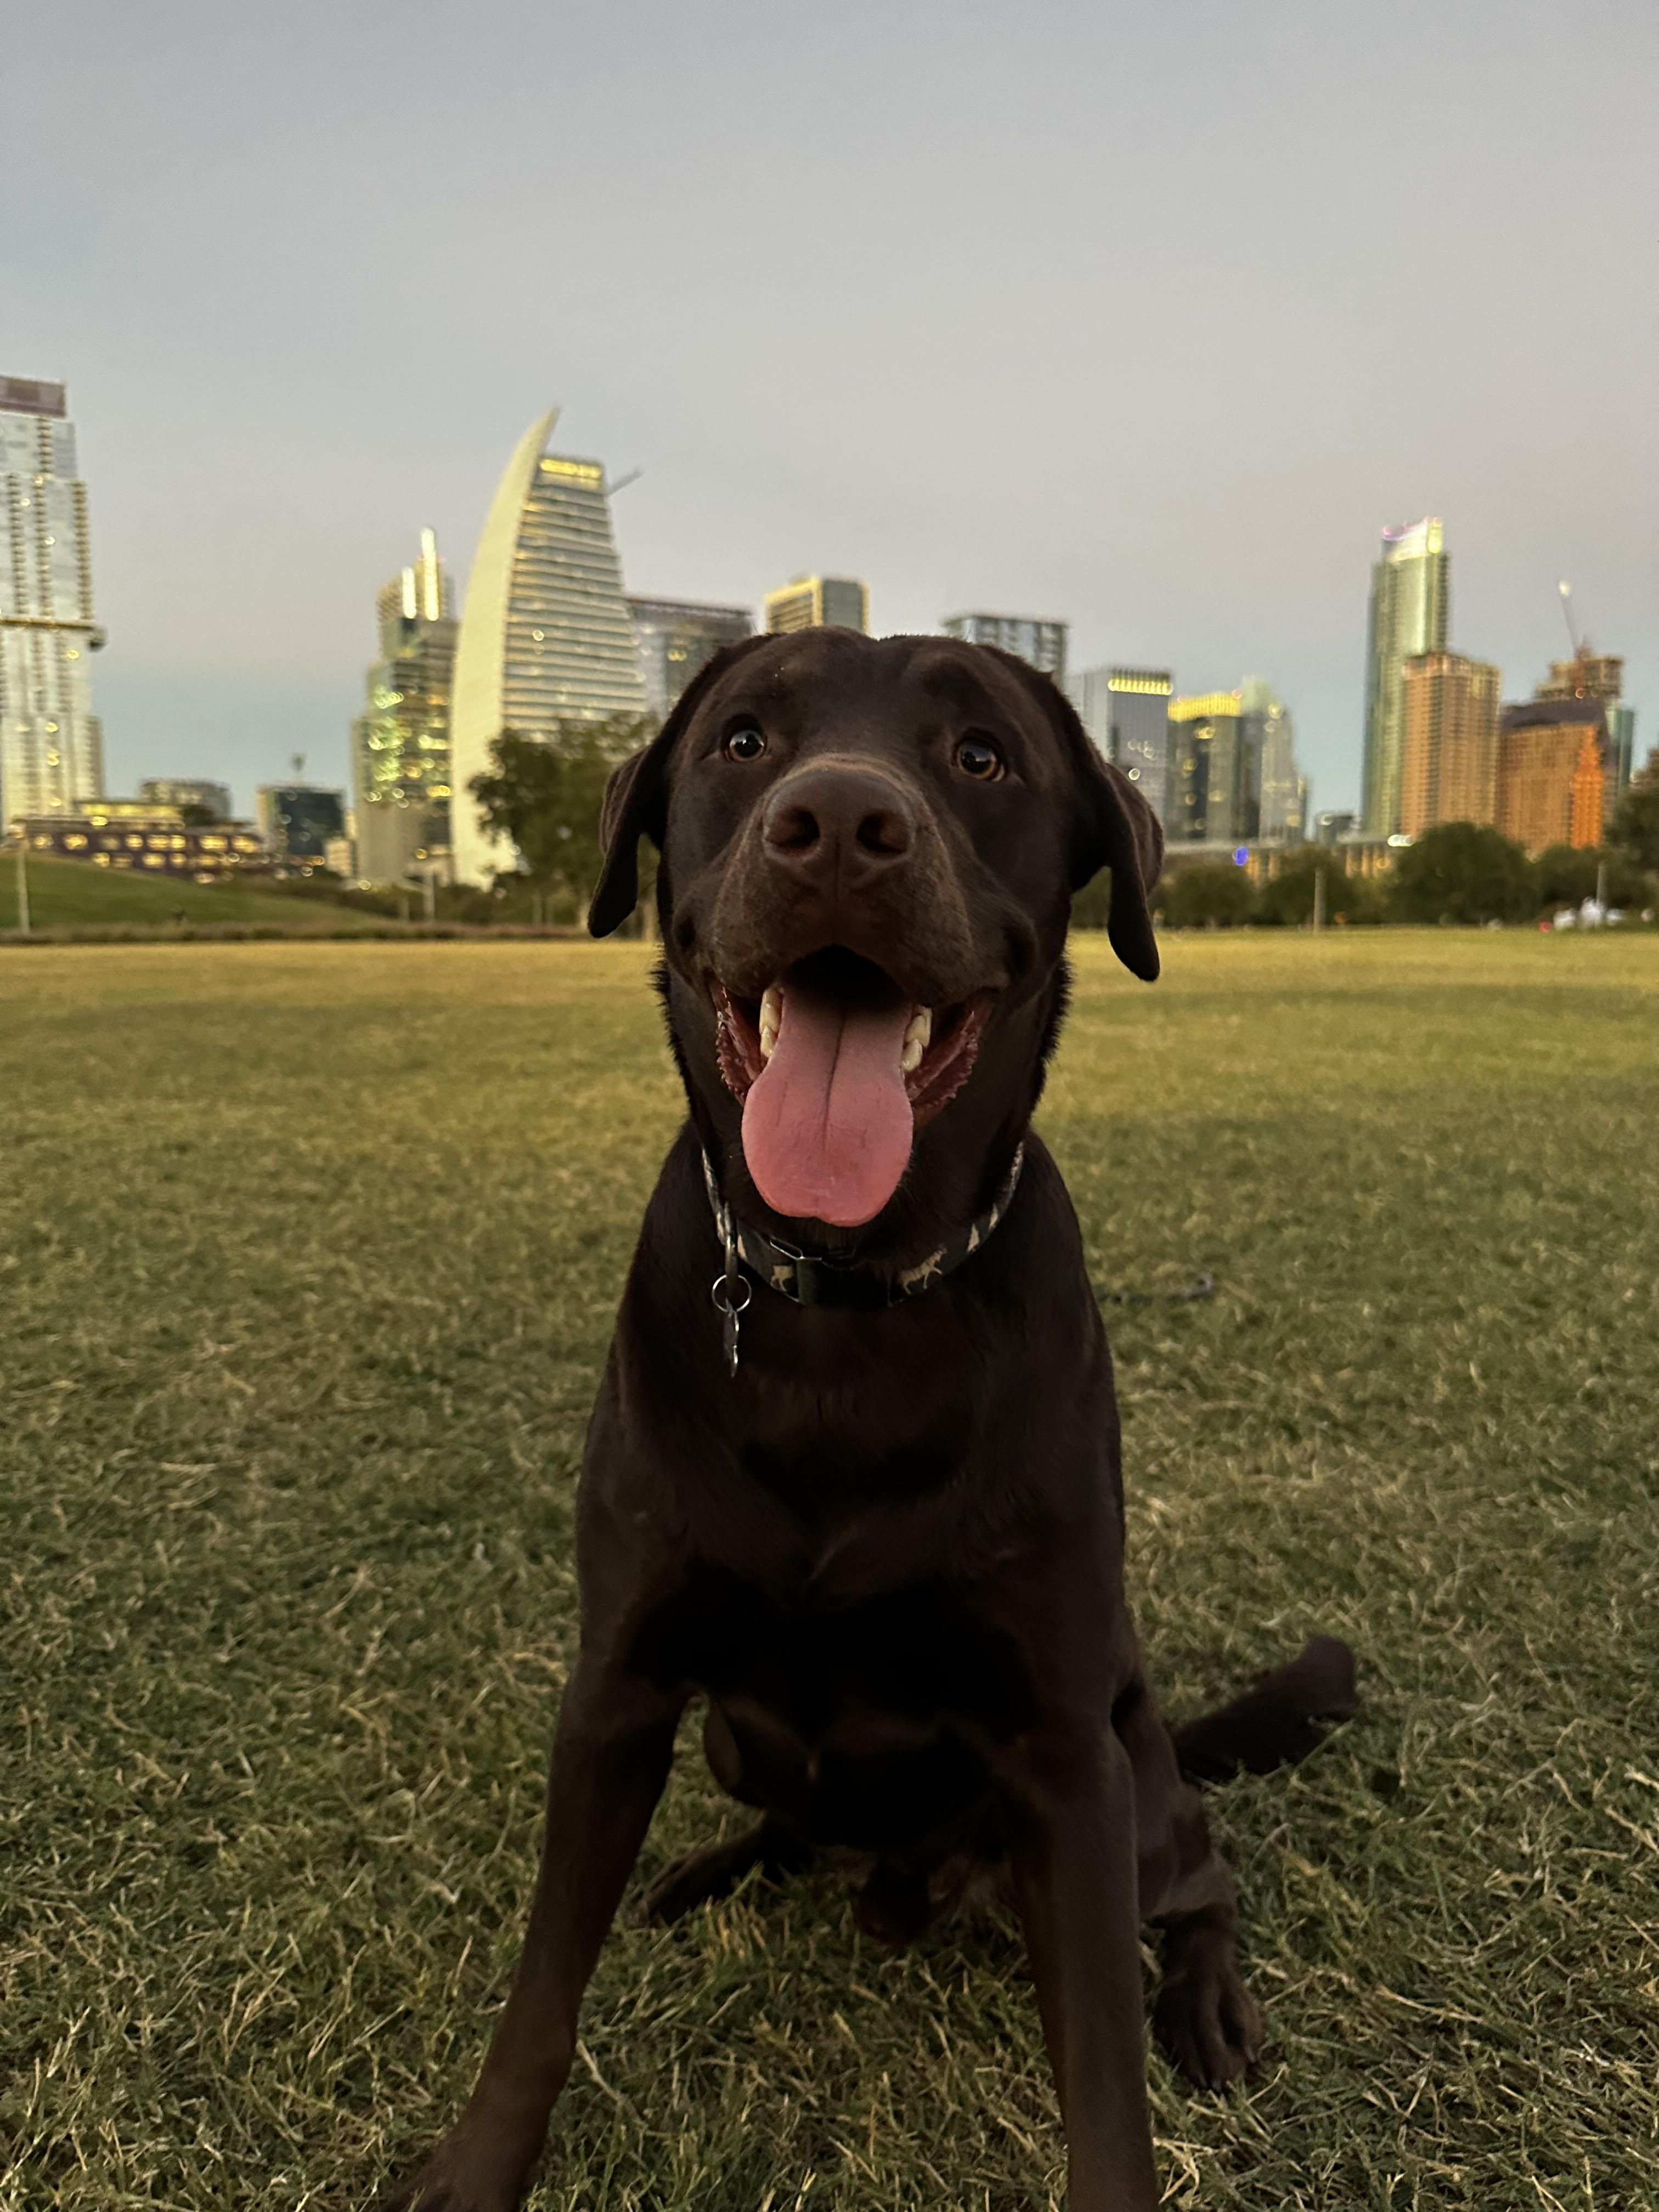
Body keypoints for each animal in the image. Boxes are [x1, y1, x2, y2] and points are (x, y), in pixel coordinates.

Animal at [382, 628, 1353, 2212]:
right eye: (743, 740)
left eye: (982, 757)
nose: (840, 823)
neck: (846, 1296)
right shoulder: (618, 1688)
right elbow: (540, 1990)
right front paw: (477, 2170)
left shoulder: (1063, 1755)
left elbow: (1106, 2082)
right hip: (733, 1741)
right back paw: (711, 1869)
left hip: (1135, 1775)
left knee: (1202, 1870)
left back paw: (1206, 1997)